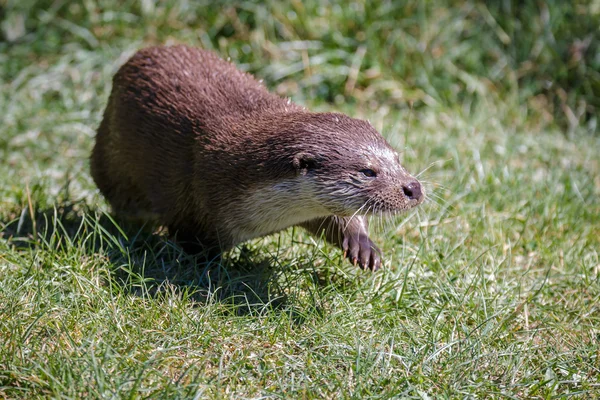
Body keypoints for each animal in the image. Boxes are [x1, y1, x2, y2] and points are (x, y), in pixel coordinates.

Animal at [91, 45, 424, 270]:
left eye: (397, 158)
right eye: (368, 171)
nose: (413, 187)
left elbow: (335, 220)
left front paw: (362, 245)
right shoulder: (193, 198)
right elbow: (192, 244)